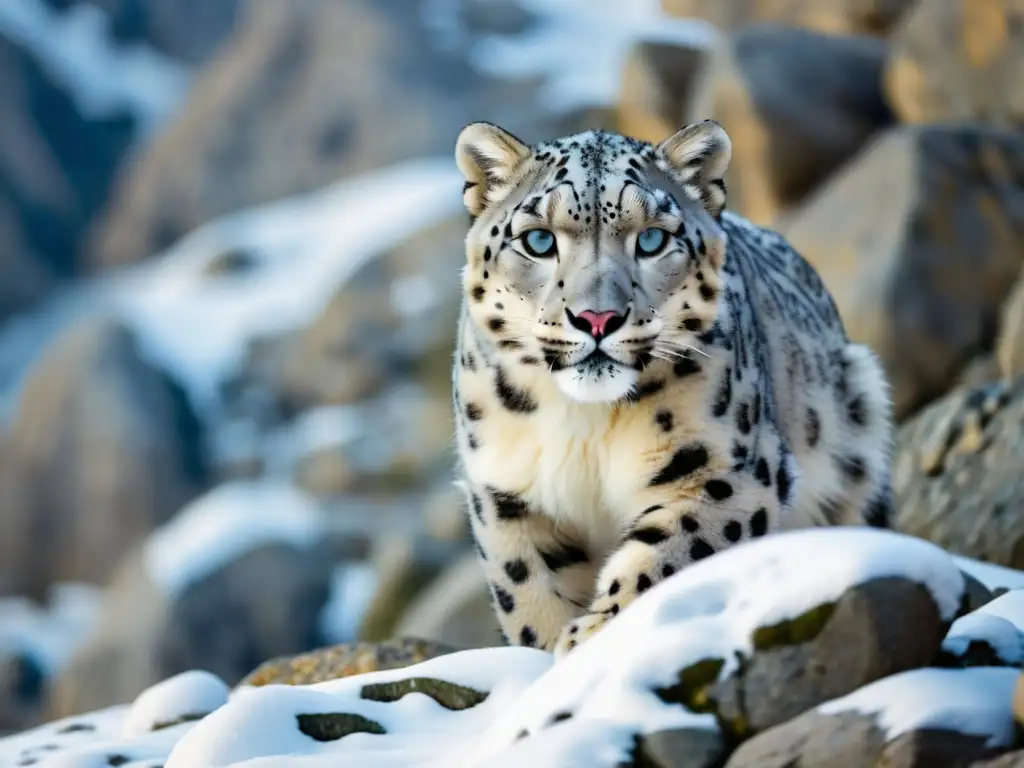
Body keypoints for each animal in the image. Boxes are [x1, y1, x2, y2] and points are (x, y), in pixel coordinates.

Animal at [449, 119, 894, 659]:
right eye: (537, 240)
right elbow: (530, 589)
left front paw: (591, 640)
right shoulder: (507, 493)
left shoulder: (722, 469)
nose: (597, 318)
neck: (583, 425)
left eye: (651, 240)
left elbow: (666, 556)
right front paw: (549, 653)